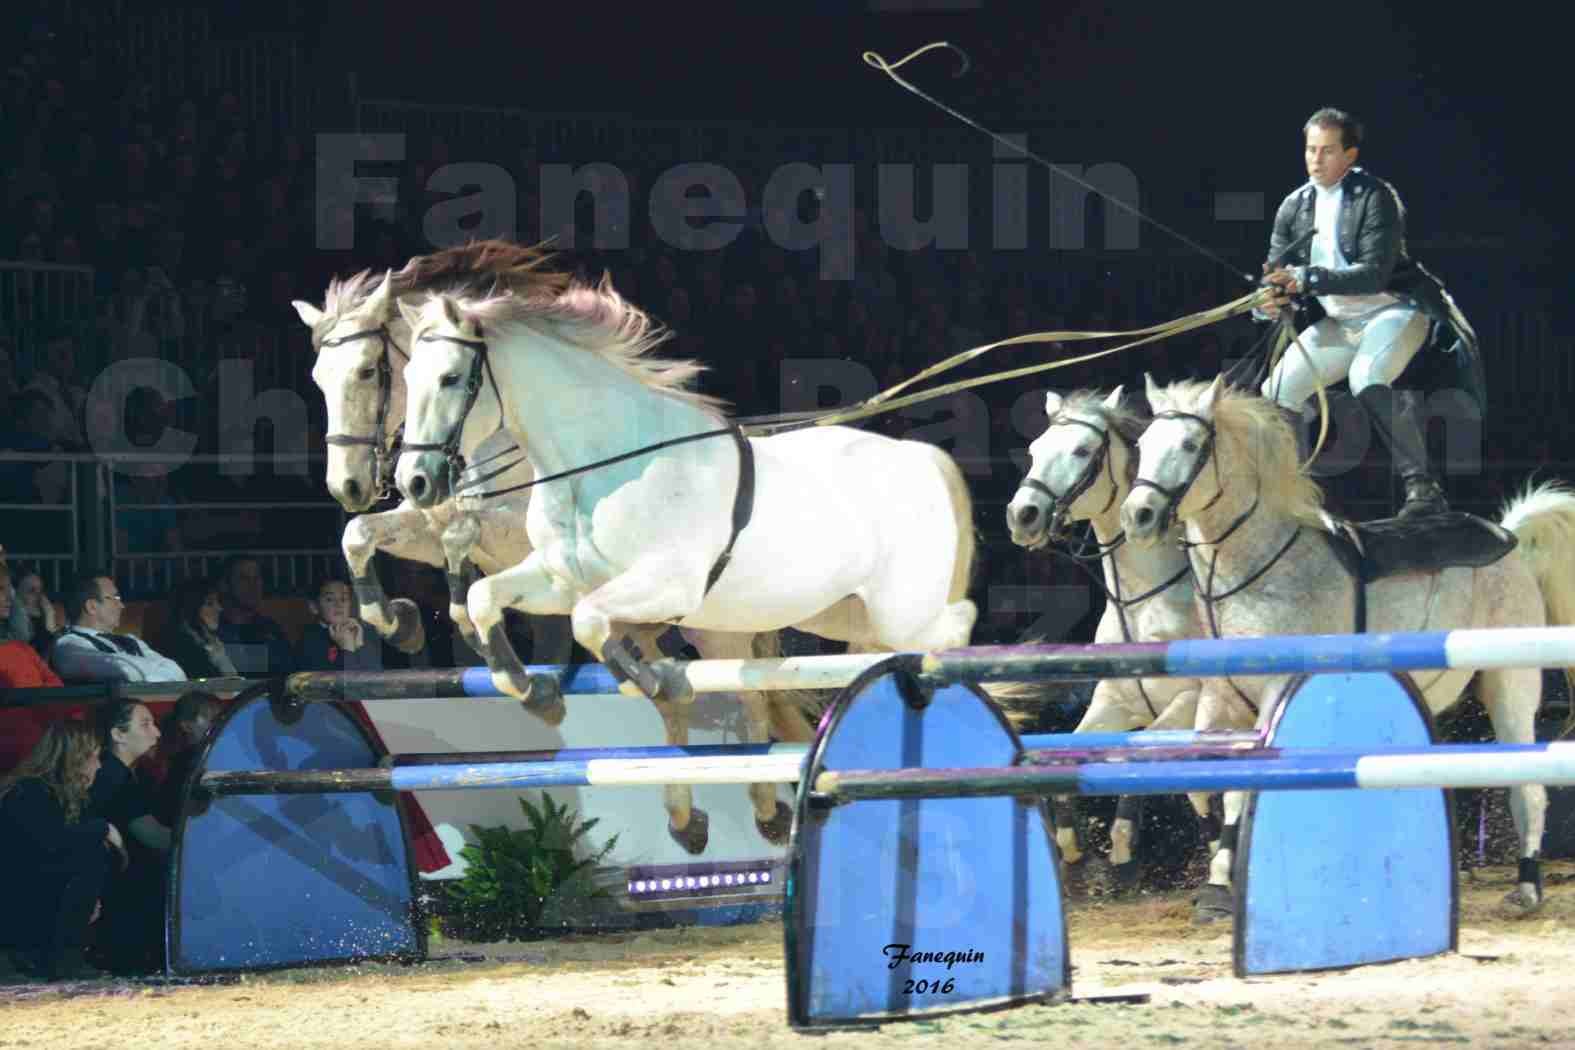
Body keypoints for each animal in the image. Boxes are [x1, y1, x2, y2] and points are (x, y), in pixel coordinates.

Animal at [292, 250, 812, 856]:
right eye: (318, 379)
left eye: (368, 371)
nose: (347, 485)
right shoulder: (434, 521)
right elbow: (363, 536)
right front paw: (400, 623)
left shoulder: (505, 535)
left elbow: (458, 548)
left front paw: (455, 631)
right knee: (675, 696)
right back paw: (687, 817)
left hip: (709, 627)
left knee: (751, 694)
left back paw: (767, 810)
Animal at [392, 258, 976, 711]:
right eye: (407, 378)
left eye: (450, 378)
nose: (414, 483)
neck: (598, 470)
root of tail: (925, 459)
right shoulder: (559, 579)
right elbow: (484, 596)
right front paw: (528, 687)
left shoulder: (668, 583)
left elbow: (588, 622)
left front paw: (653, 683)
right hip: (842, 613)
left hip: (902, 611)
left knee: (955, 625)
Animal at [1001, 388, 1247, 894]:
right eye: (1035, 450)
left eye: (1082, 451)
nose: (1023, 515)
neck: (1142, 599)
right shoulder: (1115, 703)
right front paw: (1074, 846)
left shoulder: (1191, 702)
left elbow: (1139, 754)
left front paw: (1122, 844)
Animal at [1121, 376, 1575, 919]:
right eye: (1144, 445)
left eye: (1191, 445)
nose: (1138, 516)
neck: (1258, 567)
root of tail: (1509, 538)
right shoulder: (1219, 697)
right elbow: (1212, 780)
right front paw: (1217, 886)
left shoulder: (1274, 694)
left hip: (1511, 684)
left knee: (1528, 786)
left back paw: (1526, 887)